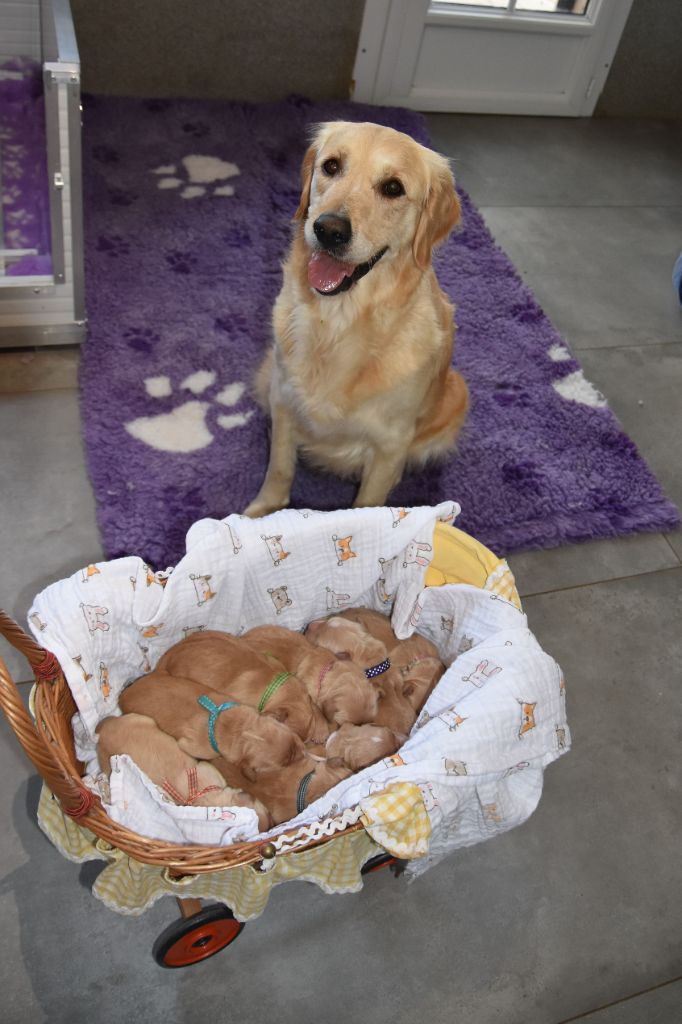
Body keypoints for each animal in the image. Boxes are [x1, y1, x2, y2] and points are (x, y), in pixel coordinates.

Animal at [118, 671, 303, 774]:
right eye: (283, 764)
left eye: (294, 737)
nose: (304, 752)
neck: (235, 728)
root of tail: (122, 696)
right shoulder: (191, 747)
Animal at [240, 121, 466, 520]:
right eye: (331, 166)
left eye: (393, 187)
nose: (329, 230)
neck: (336, 325)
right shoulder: (283, 402)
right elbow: (279, 470)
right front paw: (255, 518)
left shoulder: (391, 444)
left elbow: (368, 504)